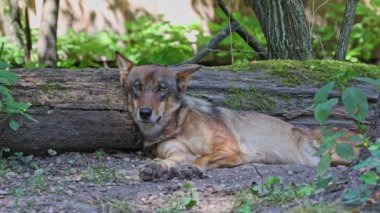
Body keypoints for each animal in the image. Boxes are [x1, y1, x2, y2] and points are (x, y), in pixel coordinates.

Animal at [114, 52, 358, 181]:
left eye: (161, 89)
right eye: (137, 87)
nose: (145, 113)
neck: (177, 125)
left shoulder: (229, 149)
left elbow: (202, 157)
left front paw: (193, 168)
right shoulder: (177, 153)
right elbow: (168, 160)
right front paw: (158, 167)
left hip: (335, 151)